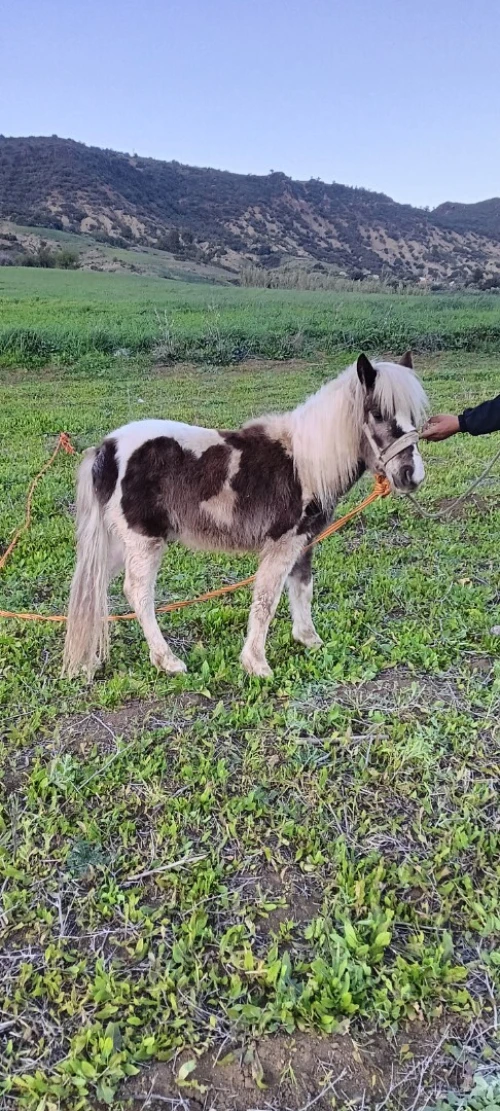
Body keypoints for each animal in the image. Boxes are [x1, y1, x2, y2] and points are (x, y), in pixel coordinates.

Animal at [62, 352, 427, 680]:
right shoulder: (282, 543)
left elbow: (303, 588)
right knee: (138, 593)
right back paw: (168, 661)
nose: (412, 475)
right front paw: (257, 664)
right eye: (377, 413)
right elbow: (266, 600)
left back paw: (90, 661)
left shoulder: (305, 541)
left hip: (117, 544)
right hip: (144, 542)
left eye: (415, 418)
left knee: (94, 588)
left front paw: (309, 640)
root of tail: (106, 449)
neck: (305, 463)